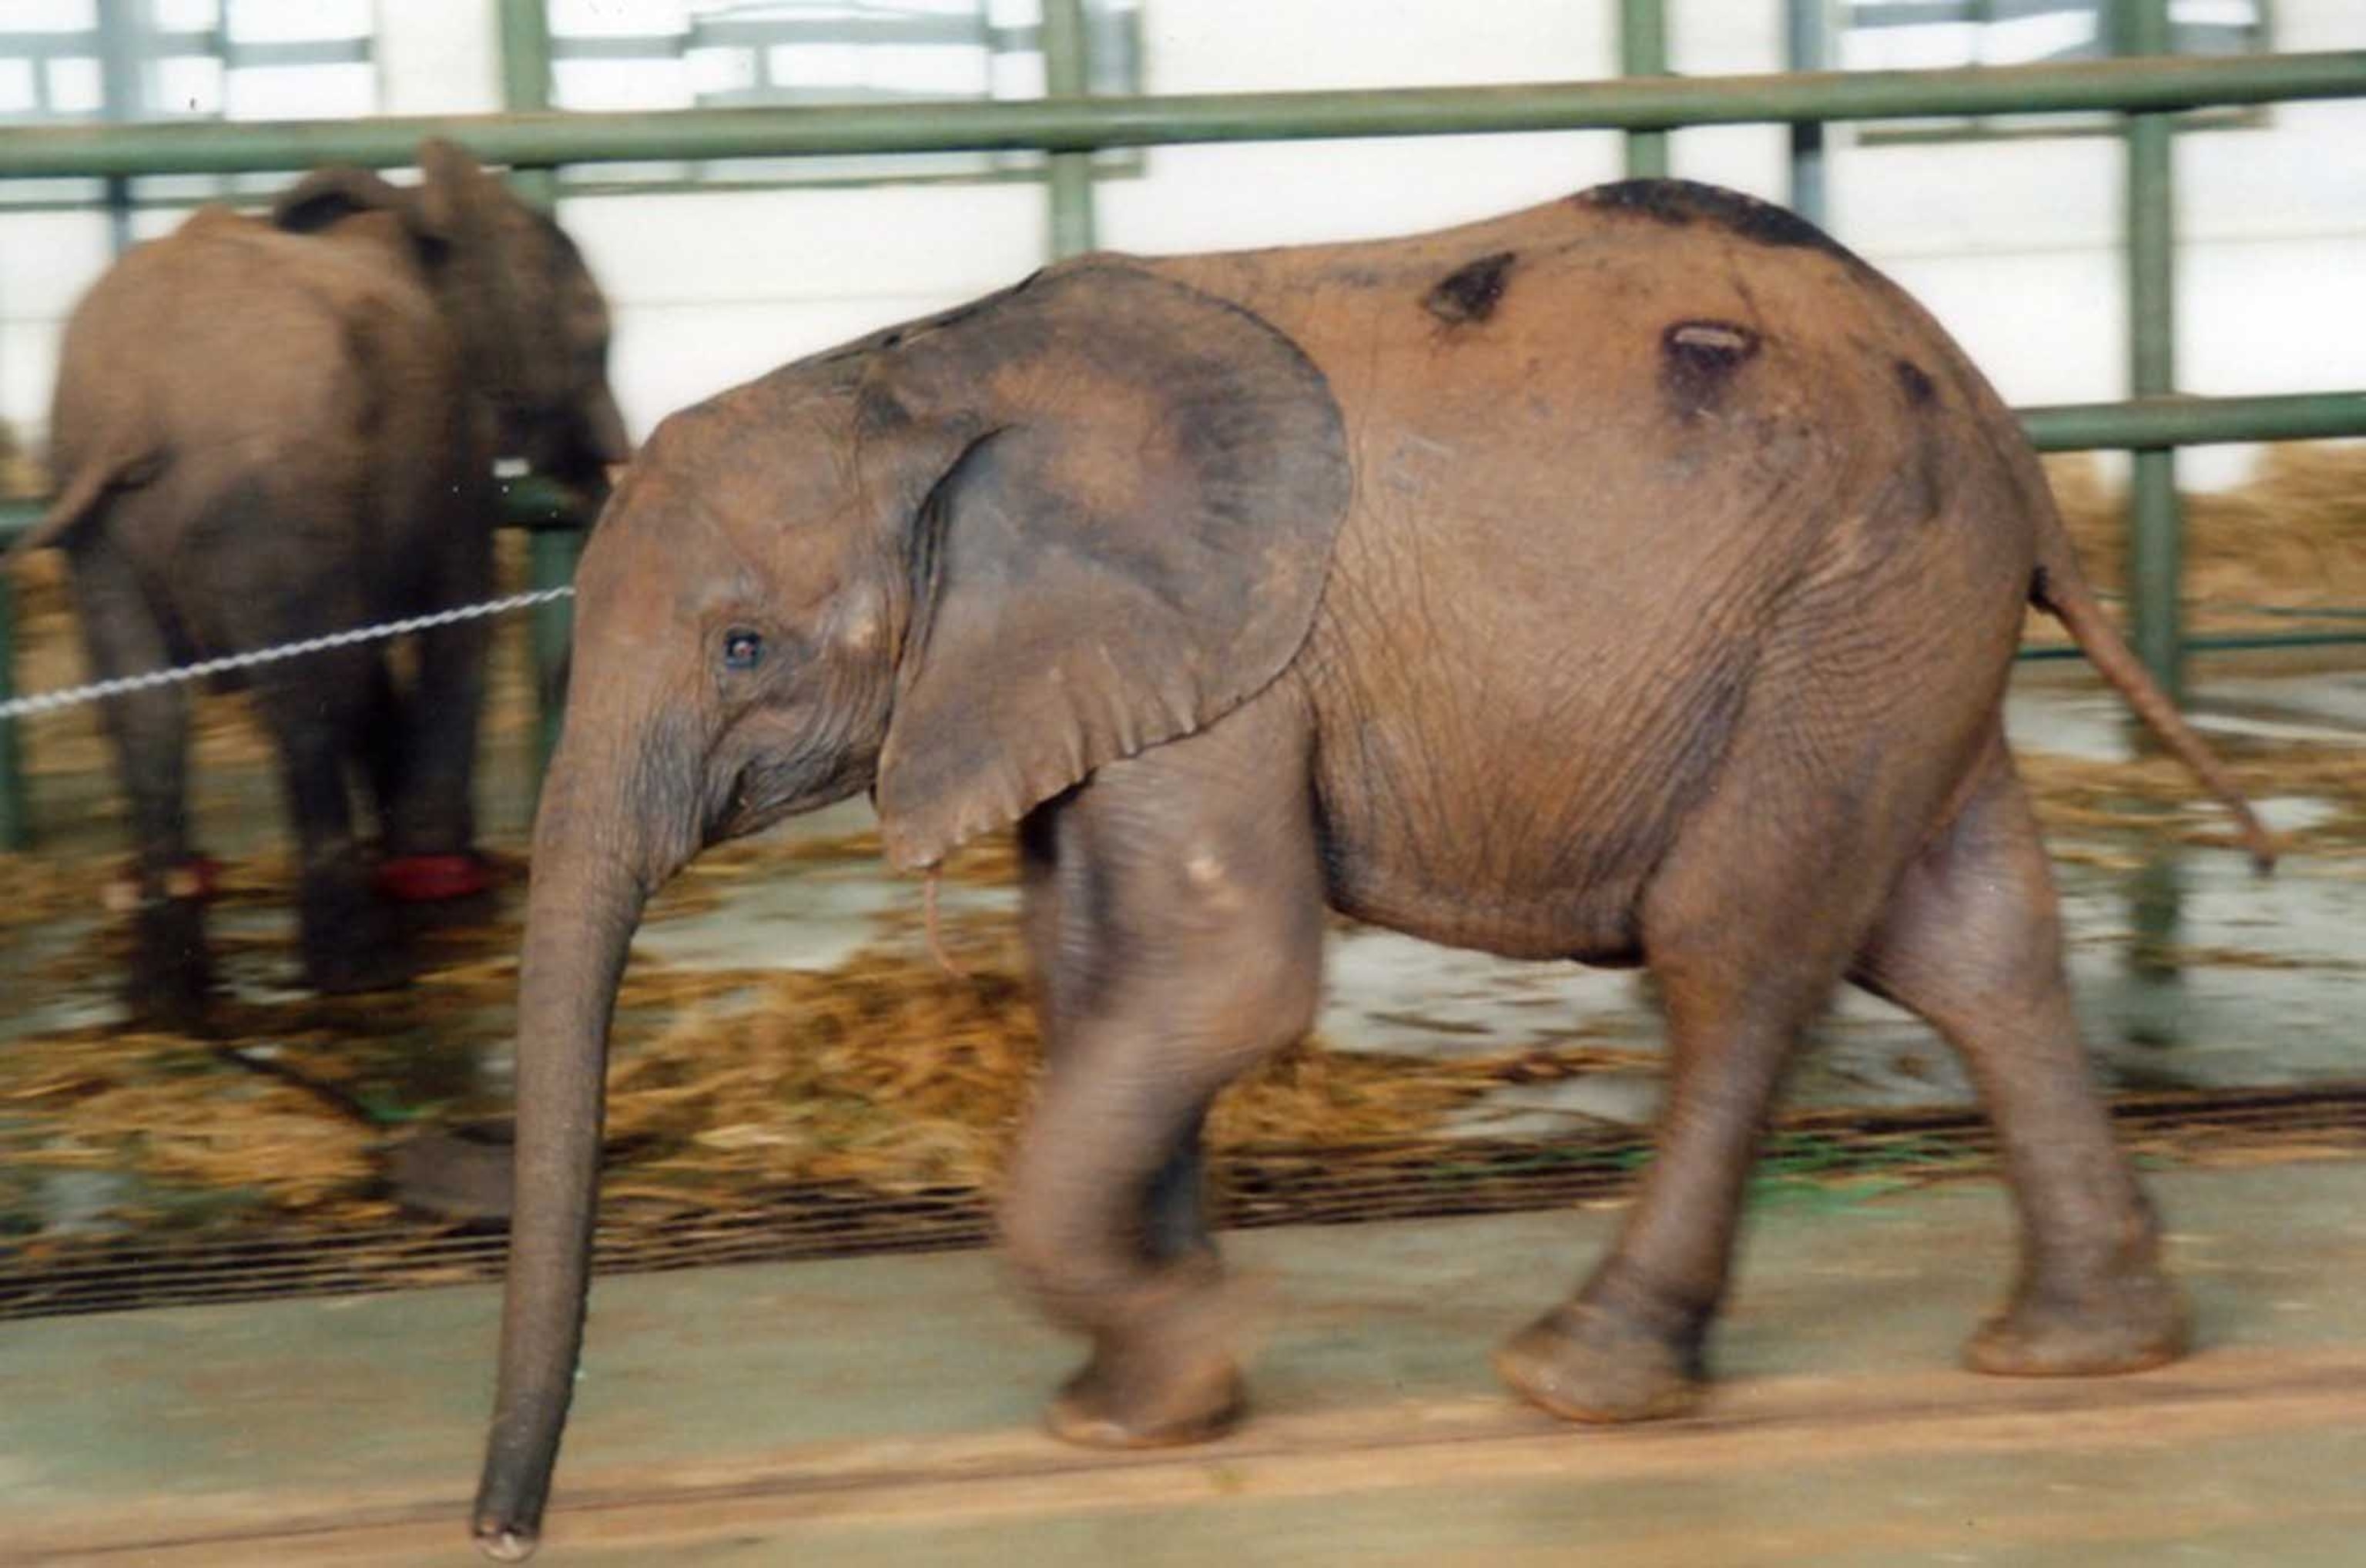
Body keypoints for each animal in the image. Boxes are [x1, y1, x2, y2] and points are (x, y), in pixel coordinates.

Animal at [17, 138, 628, 1026]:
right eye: (594, 331)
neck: (417, 209)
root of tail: (138, 403)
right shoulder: (452, 447)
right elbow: (450, 614)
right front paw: (442, 883)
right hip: (267, 488)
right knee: (303, 700)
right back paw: (357, 969)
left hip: (101, 519)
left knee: (146, 707)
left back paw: (167, 999)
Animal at [470, 178, 2274, 1559]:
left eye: (743, 647)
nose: (502, 1531)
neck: (924, 369)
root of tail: (2002, 428)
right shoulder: (1129, 668)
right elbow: (1100, 967)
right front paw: (1147, 1410)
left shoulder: (1235, 647)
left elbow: (1224, 974)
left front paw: (1191, 1350)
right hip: (1904, 618)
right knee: (1971, 939)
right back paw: (2081, 1348)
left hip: (1849, 606)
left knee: (1738, 943)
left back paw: (1577, 1376)